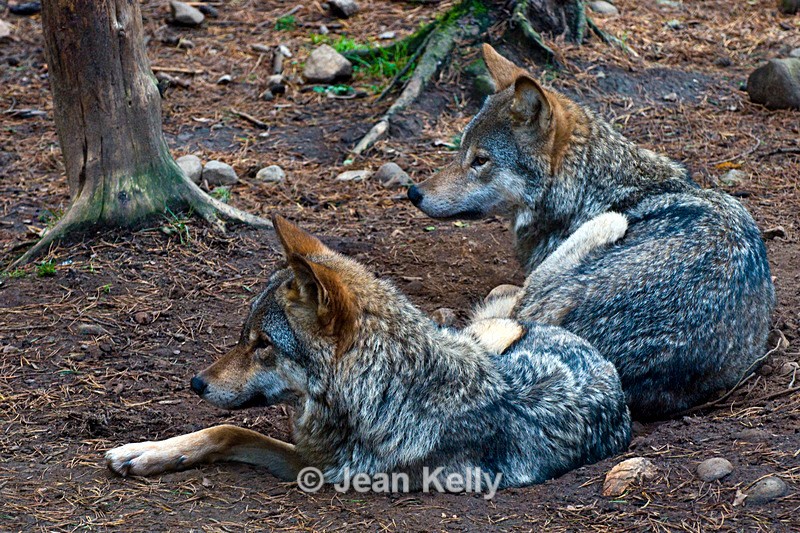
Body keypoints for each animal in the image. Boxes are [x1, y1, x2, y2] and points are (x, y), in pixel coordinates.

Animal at [105, 216, 631, 491]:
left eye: (262, 345)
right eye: (243, 337)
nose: (196, 383)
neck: (385, 390)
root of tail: (593, 352)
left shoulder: (319, 471)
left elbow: (234, 430)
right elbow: (224, 430)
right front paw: (146, 453)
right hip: (491, 333)